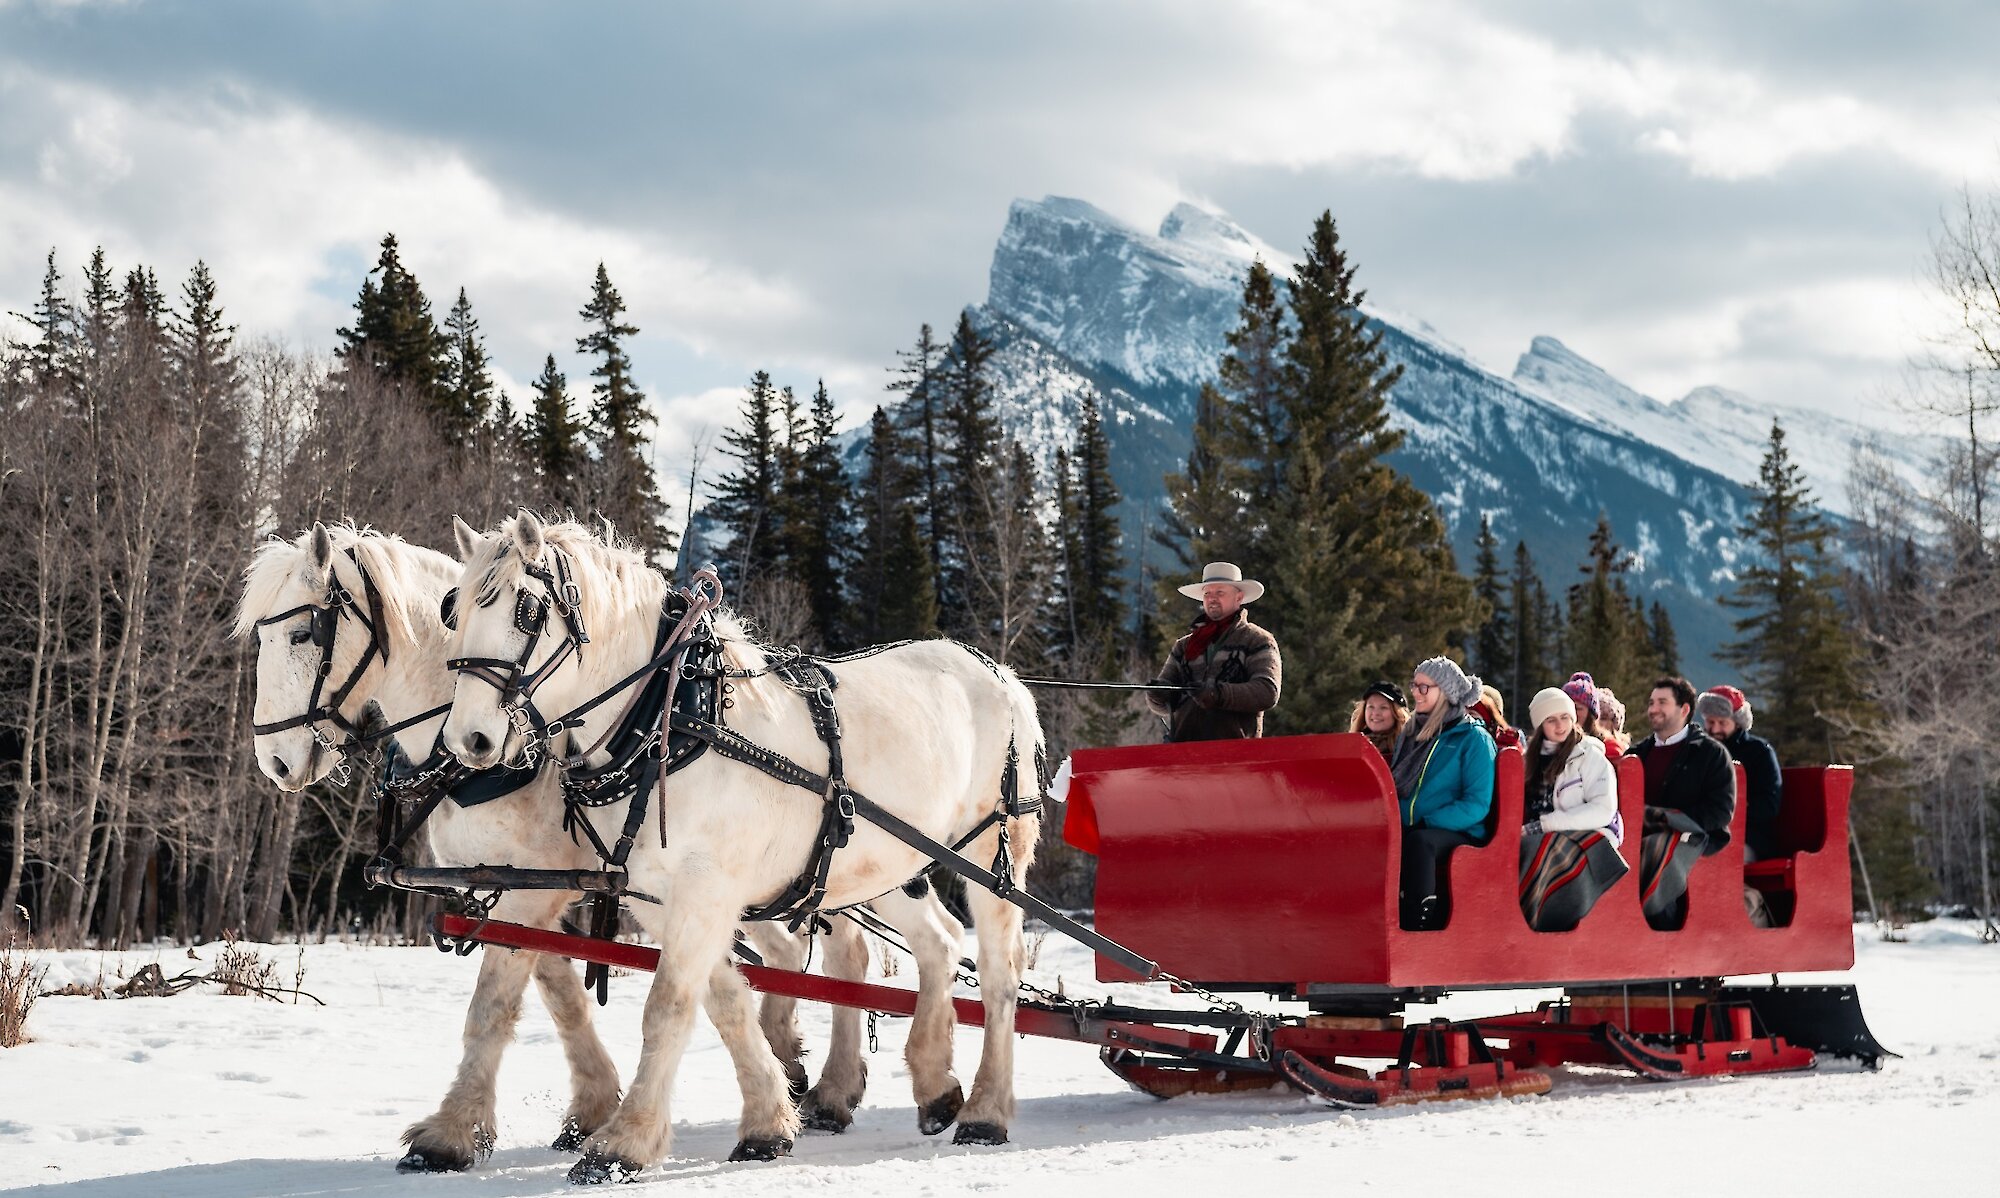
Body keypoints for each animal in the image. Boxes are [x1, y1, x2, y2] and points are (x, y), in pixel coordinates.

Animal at [244, 524, 812, 1168]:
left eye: (302, 633)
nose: (274, 761)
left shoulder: (539, 889)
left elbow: (495, 1004)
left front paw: (452, 1132)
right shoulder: (518, 885)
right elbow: (564, 993)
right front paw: (593, 1106)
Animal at [444, 516, 1040, 1184]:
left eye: (526, 609)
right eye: (454, 609)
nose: (468, 739)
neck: (670, 721)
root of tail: (1001, 674)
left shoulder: (704, 889)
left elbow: (669, 1006)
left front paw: (622, 1143)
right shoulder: (659, 897)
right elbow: (724, 1000)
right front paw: (768, 1123)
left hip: (994, 854)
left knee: (998, 974)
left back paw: (986, 1112)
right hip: (884, 864)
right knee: (938, 941)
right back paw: (933, 1084)